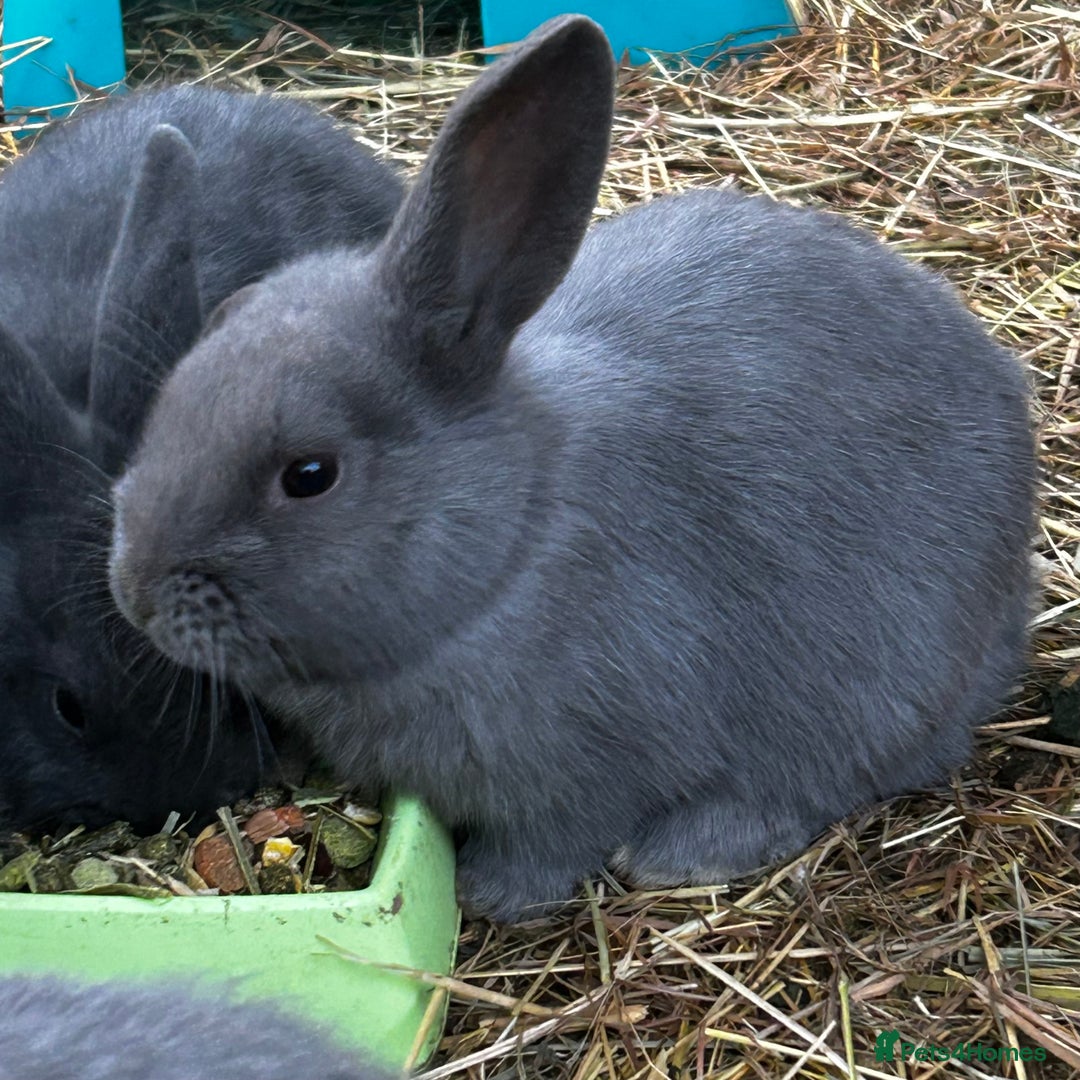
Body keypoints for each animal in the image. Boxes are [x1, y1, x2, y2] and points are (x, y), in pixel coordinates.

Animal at [108, 15, 1037, 922]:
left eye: (308, 473)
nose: (136, 595)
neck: (511, 546)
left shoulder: (589, 769)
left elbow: (557, 843)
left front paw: (489, 895)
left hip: (875, 690)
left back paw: (683, 854)